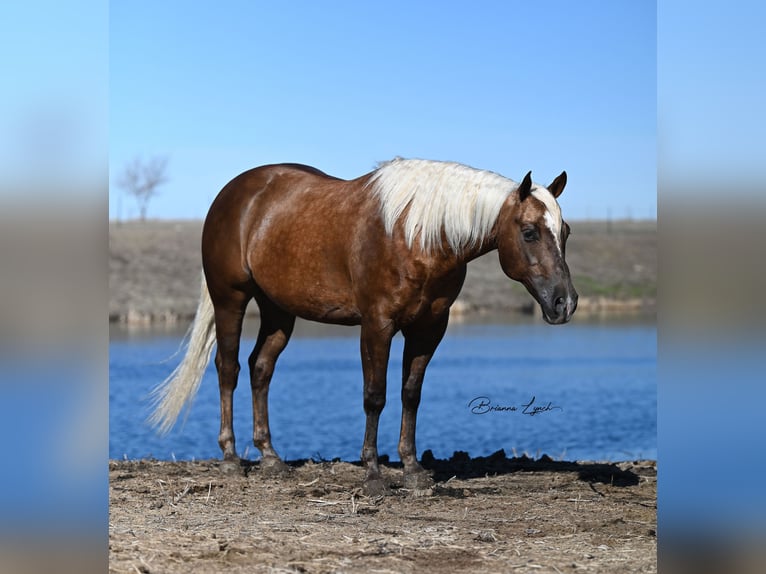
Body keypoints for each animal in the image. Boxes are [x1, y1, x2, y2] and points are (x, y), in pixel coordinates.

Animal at [150, 159, 580, 496]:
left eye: (565, 232)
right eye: (529, 232)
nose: (565, 303)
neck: (417, 235)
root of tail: (233, 194)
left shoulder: (429, 327)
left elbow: (410, 394)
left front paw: (412, 469)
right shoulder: (376, 324)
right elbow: (375, 396)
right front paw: (373, 474)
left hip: (278, 310)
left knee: (261, 368)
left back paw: (270, 457)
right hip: (231, 300)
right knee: (229, 368)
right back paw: (230, 458)